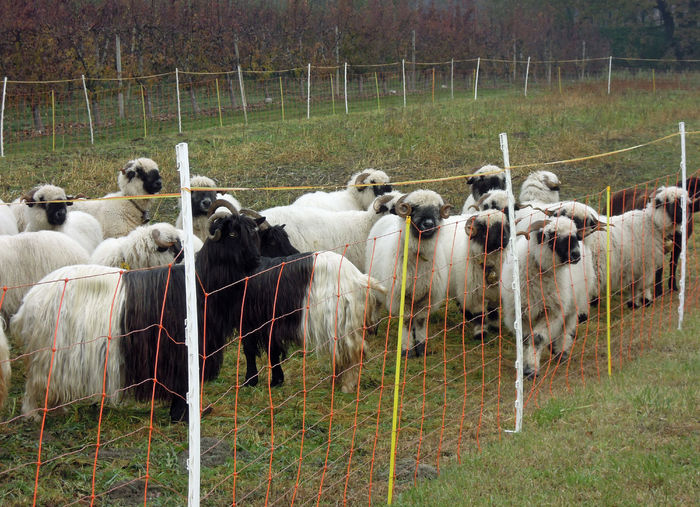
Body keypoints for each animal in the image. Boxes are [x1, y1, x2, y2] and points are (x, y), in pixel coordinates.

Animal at [13, 204, 266, 422]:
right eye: (232, 234)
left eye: (253, 233)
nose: (256, 259)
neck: (200, 283)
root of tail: (29, 300)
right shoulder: (177, 351)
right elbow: (181, 385)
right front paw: (182, 417)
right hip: (47, 351)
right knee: (34, 382)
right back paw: (33, 414)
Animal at [364, 189, 452, 360]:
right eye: (414, 208)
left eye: (437, 209)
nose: (429, 225)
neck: (419, 257)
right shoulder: (400, 297)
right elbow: (405, 321)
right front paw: (407, 349)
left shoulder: (426, 297)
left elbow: (421, 320)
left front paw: (421, 347)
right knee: (376, 304)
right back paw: (374, 328)